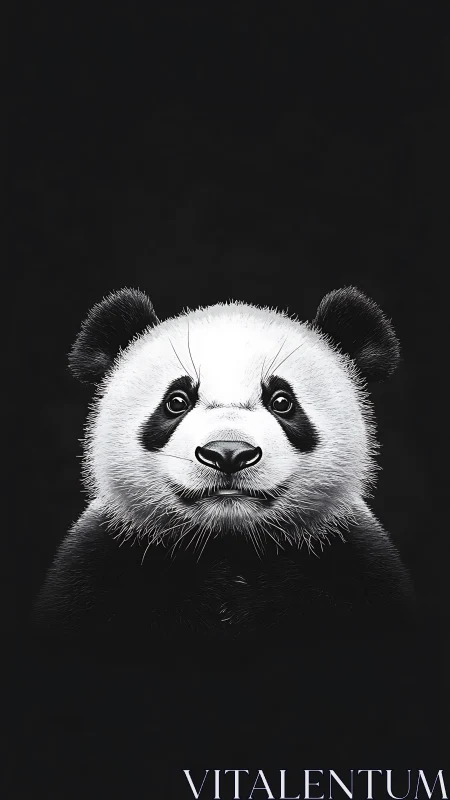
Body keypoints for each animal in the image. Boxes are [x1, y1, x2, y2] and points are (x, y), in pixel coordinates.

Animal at [34, 286, 415, 654]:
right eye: (176, 401)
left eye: (282, 401)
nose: (228, 453)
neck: (229, 544)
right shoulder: (105, 563)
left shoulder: (350, 563)